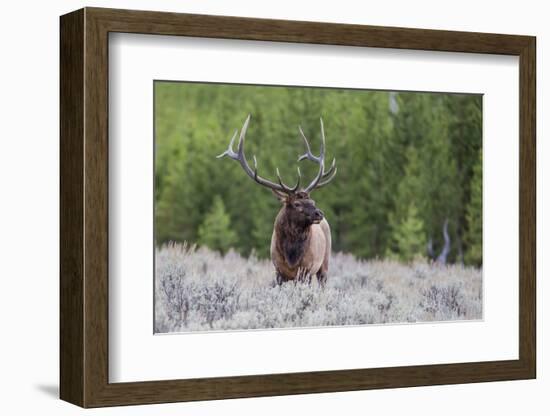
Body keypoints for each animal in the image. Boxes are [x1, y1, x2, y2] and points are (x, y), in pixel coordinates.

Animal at [218, 115, 338, 288]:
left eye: (313, 201)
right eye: (297, 204)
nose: (319, 213)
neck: (291, 257)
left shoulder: (307, 270)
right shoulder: (278, 271)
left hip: (324, 263)